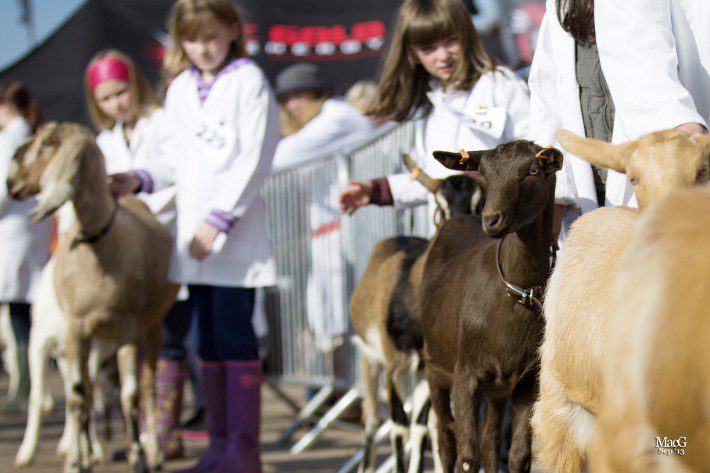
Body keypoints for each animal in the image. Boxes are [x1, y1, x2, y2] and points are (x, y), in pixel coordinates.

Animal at [354, 153, 486, 470]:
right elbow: (399, 426)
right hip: (369, 359)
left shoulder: (429, 369)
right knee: (371, 422)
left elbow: (422, 428)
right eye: (439, 204)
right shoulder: (394, 365)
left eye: (480, 202)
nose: (462, 231)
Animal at [420, 141, 564, 472]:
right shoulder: (465, 375)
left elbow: (518, 455)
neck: (515, 293)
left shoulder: (527, 382)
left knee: (490, 440)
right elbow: (467, 458)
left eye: (533, 170)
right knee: (445, 439)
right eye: (484, 171)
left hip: (498, 391)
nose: (491, 220)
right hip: (435, 367)